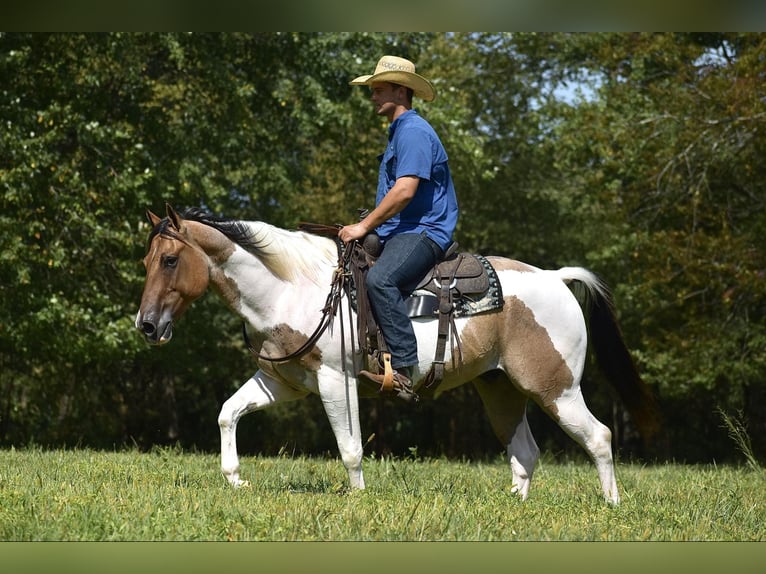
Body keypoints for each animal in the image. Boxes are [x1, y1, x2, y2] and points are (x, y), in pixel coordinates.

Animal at [136, 205, 660, 506]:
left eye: (170, 260)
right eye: (146, 261)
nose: (146, 326)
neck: (291, 288)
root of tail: (555, 277)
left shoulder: (336, 381)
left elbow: (350, 446)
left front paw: (358, 498)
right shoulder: (284, 383)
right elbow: (228, 413)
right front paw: (235, 480)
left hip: (556, 390)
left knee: (599, 437)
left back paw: (611, 505)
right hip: (501, 390)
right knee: (525, 451)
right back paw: (517, 506)